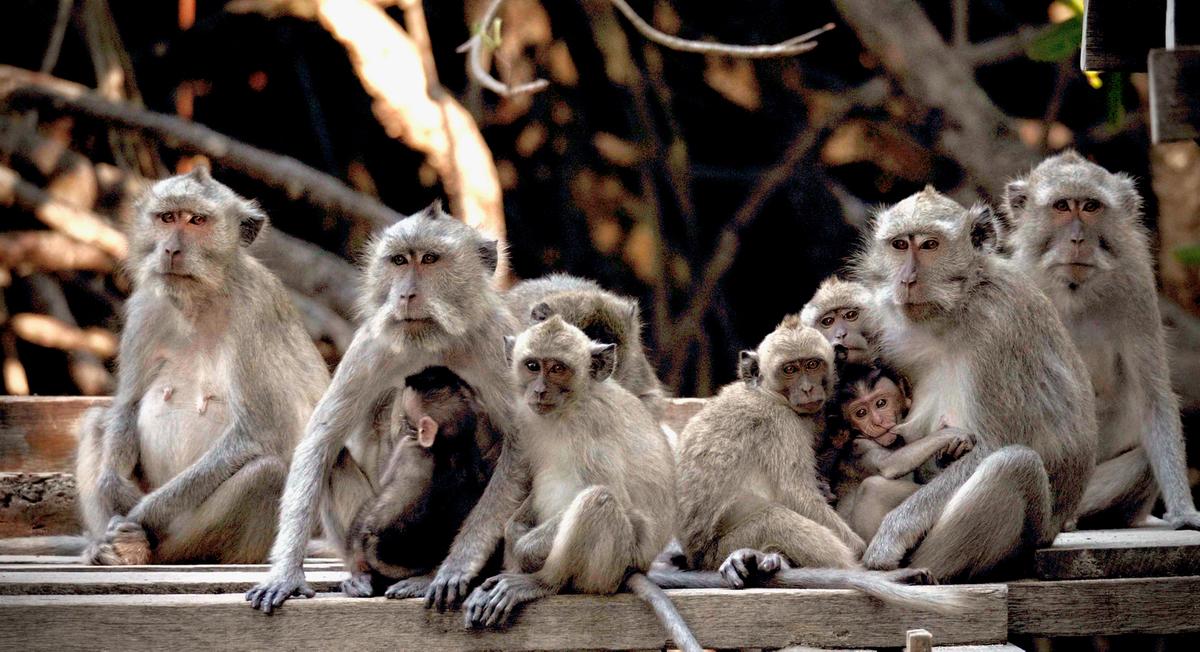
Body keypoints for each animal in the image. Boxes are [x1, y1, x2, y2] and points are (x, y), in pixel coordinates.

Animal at [74, 166, 328, 566]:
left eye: (197, 221)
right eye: (167, 218)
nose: (171, 249)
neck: (200, 301)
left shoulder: (255, 311)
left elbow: (259, 432)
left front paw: (140, 514)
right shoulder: (146, 306)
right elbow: (126, 406)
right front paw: (113, 488)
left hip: (184, 542)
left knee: (264, 473)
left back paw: (135, 547)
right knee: (96, 421)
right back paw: (104, 549)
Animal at [246, 201, 518, 614]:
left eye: (430, 259)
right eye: (399, 260)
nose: (405, 294)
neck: (433, 338)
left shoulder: (499, 341)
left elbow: (522, 448)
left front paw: (457, 566)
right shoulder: (370, 344)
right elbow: (320, 440)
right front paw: (285, 574)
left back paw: (425, 575)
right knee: (334, 457)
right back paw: (363, 576)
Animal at [460, 316, 700, 652]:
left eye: (558, 368)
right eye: (532, 365)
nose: (540, 390)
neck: (568, 409)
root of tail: (637, 567)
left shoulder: (592, 431)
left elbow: (616, 496)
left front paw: (522, 549)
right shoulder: (526, 421)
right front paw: (513, 533)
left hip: (610, 566)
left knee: (599, 500)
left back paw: (542, 582)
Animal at [854, 187, 1099, 581]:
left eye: (930, 245)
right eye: (899, 244)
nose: (907, 280)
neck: (957, 309)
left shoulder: (998, 328)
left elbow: (994, 444)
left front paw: (893, 532)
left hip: (1028, 538)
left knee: (1015, 464)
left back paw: (920, 572)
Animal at [1003, 153, 1200, 530]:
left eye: (1091, 207)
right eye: (1062, 206)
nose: (1078, 239)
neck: (1072, 292)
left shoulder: (1137, 289)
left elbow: (1154, 397)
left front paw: (1183, 510)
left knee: (1141, 460)